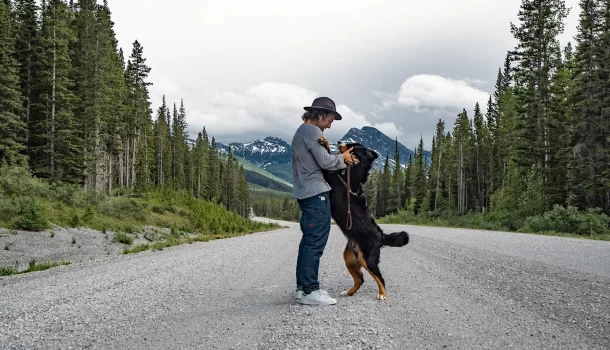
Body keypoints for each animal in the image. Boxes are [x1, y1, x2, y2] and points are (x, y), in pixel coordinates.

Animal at [316, 135, 406, 300]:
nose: (339, 141)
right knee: (360, 279)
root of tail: (380, 235)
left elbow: (327, 161)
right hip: (349, 258)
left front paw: (324, 142)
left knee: (380, 278)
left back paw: (382, 294)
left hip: (368, 259)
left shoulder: (330, 176)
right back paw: (349, 292)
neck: (351, 173)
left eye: (352, 147)